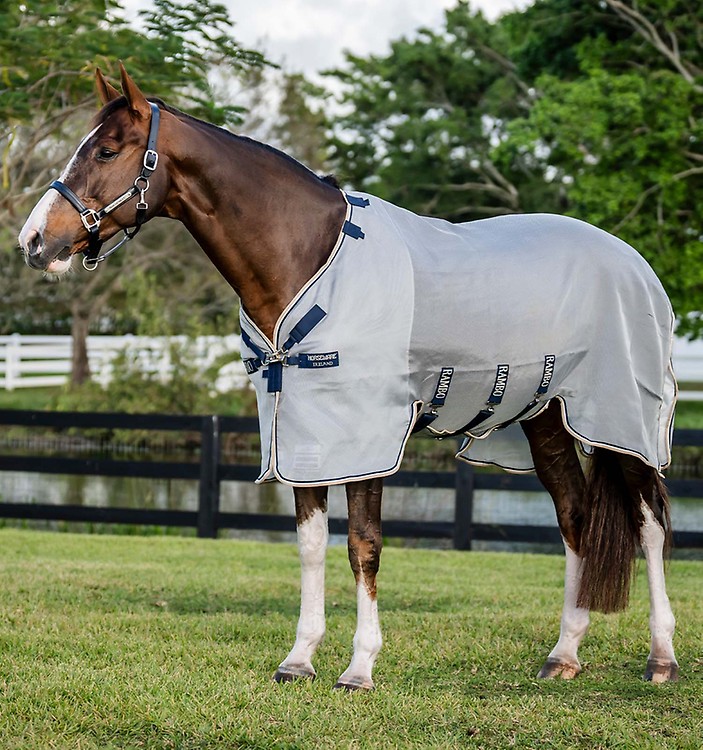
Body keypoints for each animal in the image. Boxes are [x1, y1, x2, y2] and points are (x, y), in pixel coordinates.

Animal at [18, 64, 679, 689]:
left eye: (107, 151)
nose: (33, 241)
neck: (307, 255)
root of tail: (633, 262)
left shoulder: (367, 437)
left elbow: (364, 545)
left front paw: (359, 667)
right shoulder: (302, 431)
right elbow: (312, 545)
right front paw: (299, 659)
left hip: (625, 421)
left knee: (649, 524)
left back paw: (661, 657)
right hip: (545, 419)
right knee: (574, 518)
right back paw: (564, 654)